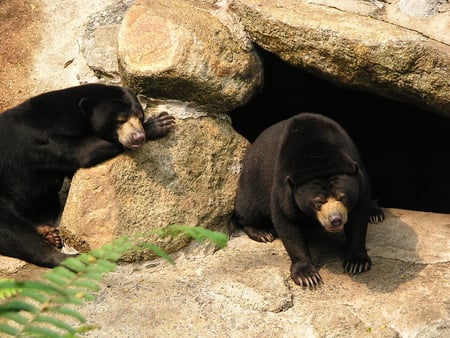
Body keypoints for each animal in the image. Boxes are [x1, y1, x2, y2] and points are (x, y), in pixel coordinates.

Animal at [0, 84, 175, 266]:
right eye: (120, 120)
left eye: (139, 117)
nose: (138, 137)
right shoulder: (43, 141)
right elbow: (83, 151)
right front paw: (158, 124)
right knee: (14, 232)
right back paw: (72, 258)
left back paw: (49, 233)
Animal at [232, 113, 384, 288]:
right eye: (318, 202)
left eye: (343, 197)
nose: (335, 220)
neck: (319, 156)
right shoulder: (284, 186)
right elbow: (287, 222)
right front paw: (307, 276)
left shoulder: (359, 178)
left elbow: (358, 217)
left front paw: (357, 263)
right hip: (253, 178)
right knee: (249, 206)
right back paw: (263, 233)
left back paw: (375, 214)